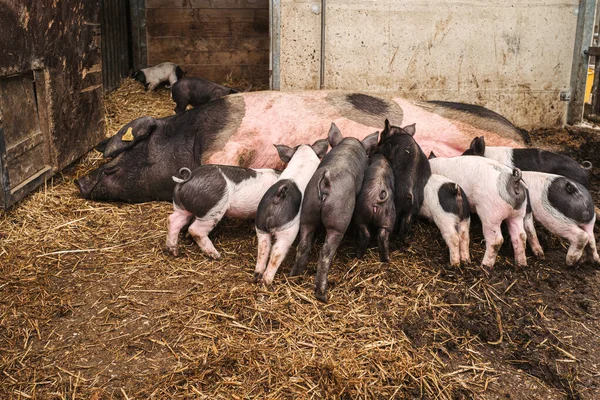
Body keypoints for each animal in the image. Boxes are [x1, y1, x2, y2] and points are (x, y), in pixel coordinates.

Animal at [252, 138, 330, 284]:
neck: (304, 154)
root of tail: (278, 197)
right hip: (287, 230)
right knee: (277, 252)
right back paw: (267, 281)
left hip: (260, 224)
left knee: (263, 248)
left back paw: (257, 276)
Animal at [288, 123, 378, 302]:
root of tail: (326, 181)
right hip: (338, 218)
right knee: (326, 252)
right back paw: (322, 295)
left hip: (308, 208)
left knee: (303, 244)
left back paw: (294, 275)